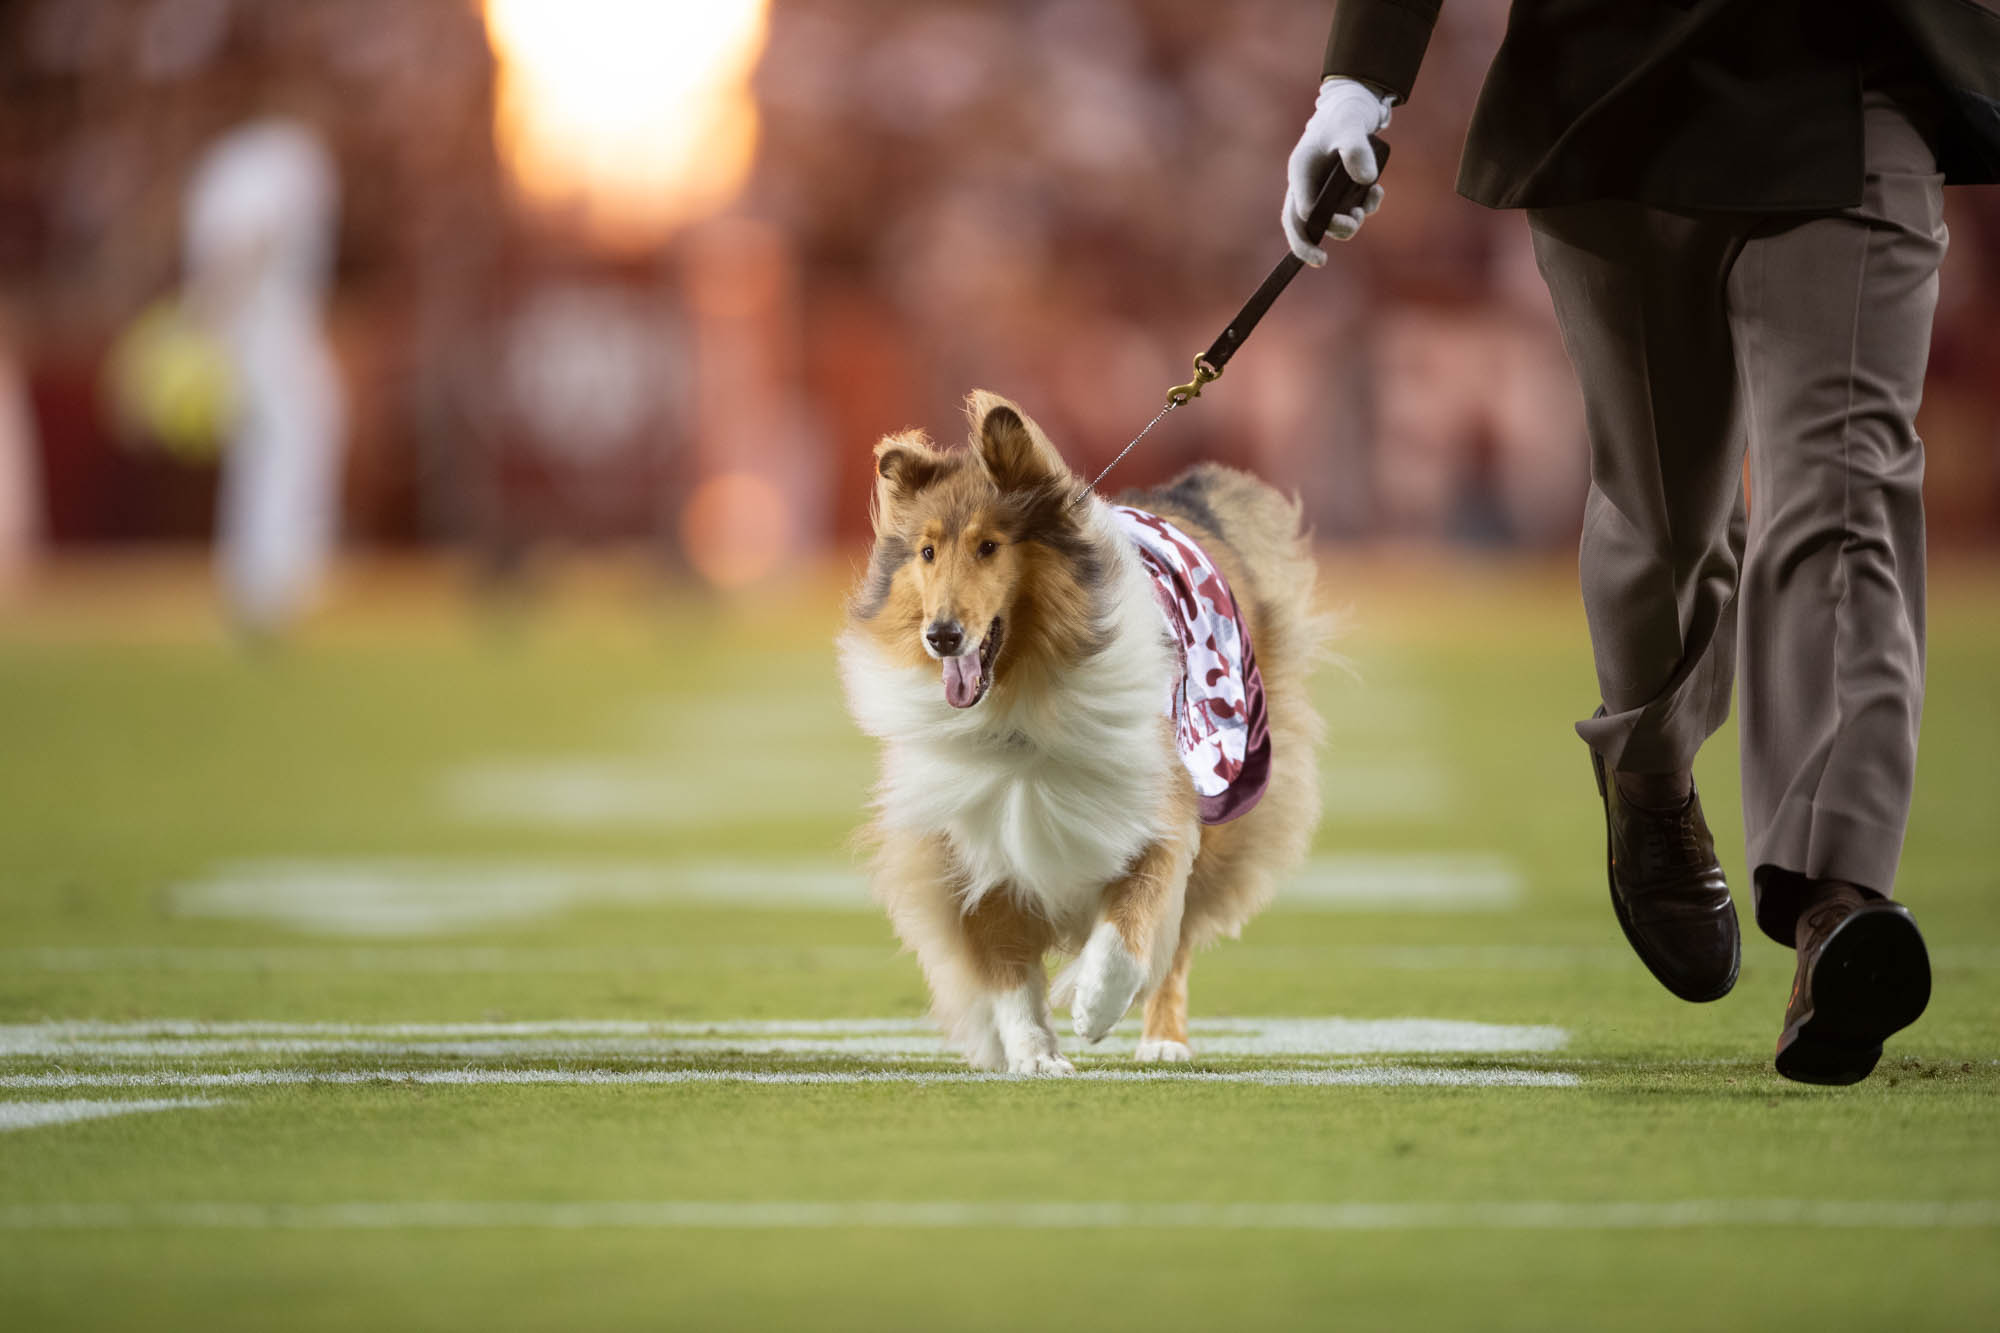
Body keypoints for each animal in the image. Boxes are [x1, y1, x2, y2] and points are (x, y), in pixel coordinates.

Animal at [836, 392, 1320, 1072]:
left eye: (989, 546)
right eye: (927, 552)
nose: (942, 636)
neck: (1019, 706)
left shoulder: (1157, 804)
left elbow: (1133, 923)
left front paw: (1095, 1003)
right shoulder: (970, 839)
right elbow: (1007, 972)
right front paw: (1034, 1054)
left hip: (1226, 797)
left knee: (1177, 942)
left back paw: (1164, 1040)